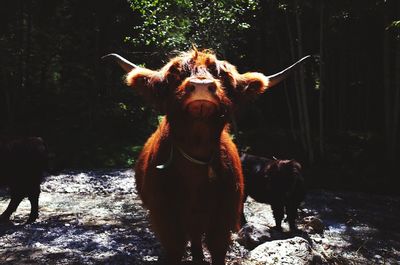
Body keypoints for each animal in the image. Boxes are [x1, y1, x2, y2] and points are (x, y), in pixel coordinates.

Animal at [104, 49, 310, 264]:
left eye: (220, 75)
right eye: (177, 74)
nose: (201, 86)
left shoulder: (223, 218)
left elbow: (217, 249)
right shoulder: (165, 218)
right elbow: (175, 249)